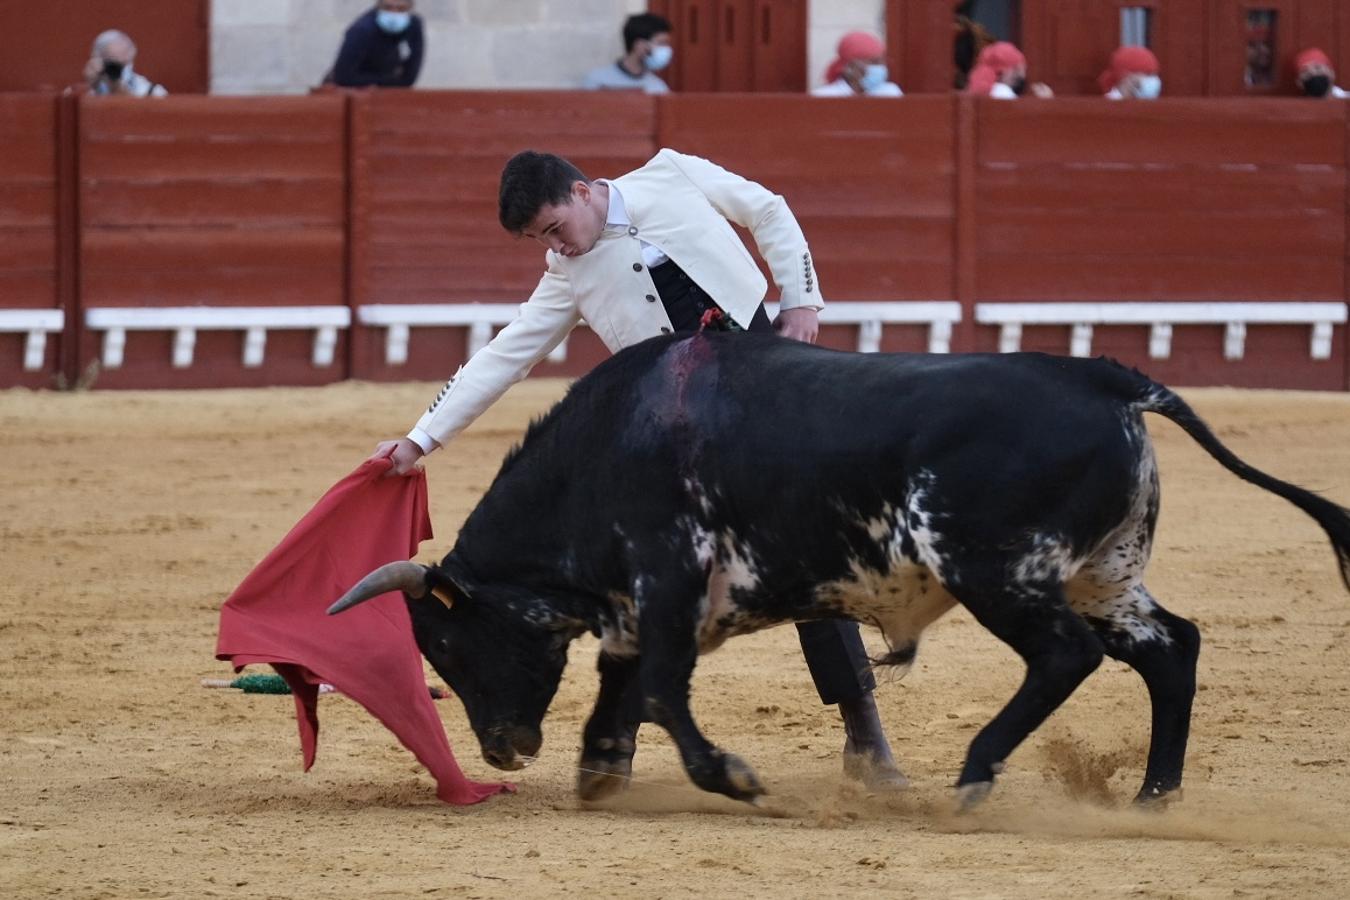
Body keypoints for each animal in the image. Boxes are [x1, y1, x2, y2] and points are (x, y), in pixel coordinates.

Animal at [329, 333, 1350, 809]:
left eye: (449, 646)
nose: (504, 749)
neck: (607, 446)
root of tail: (1106, 377)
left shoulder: (668, 585)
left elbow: (656, 688)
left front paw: (730, 777)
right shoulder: (638, 604)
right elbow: (625, 688)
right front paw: (599, 773)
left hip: (999, 570)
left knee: (1066, 658)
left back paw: (973, 778)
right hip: (1105, 572)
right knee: (1171, 648)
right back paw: (1151, 797)